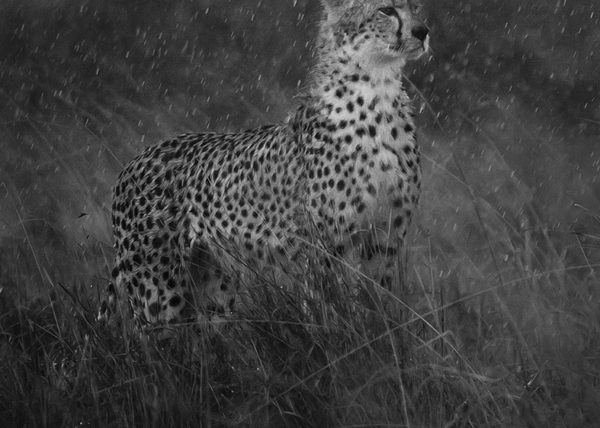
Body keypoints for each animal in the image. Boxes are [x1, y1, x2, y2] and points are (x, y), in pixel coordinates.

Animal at [97, 0, 426, 330]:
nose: (422, 31)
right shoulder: (322, 246)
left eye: (416, 7)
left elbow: (379, 307)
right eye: (386, 10)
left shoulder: (385, 239)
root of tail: (133, 161)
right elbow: (329, 310)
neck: (378, 91)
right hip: (158, 293)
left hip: (213, 288)